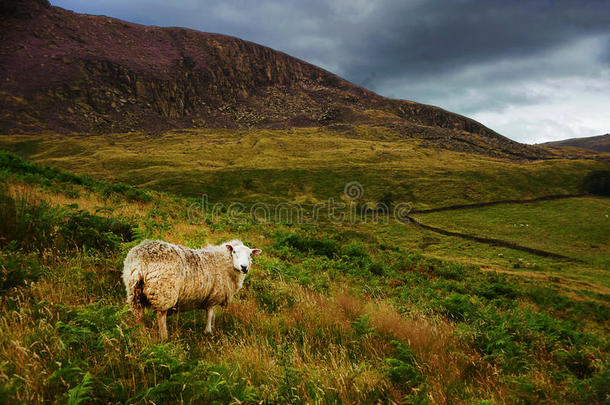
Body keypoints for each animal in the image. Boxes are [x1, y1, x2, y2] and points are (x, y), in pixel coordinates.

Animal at [121, 237, 258, 338]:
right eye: (234, 251)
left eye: (250, 254)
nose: (244, 267)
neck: (223, 261)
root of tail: (140, 264)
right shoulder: (212, 297)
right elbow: (210, 314)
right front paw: (208, 332)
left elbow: (212, 315)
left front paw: (212, 328)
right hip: (163, 292)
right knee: (161, 315)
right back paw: (164, 337)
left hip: (133, 292)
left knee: (138, 315)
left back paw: (141, 333)